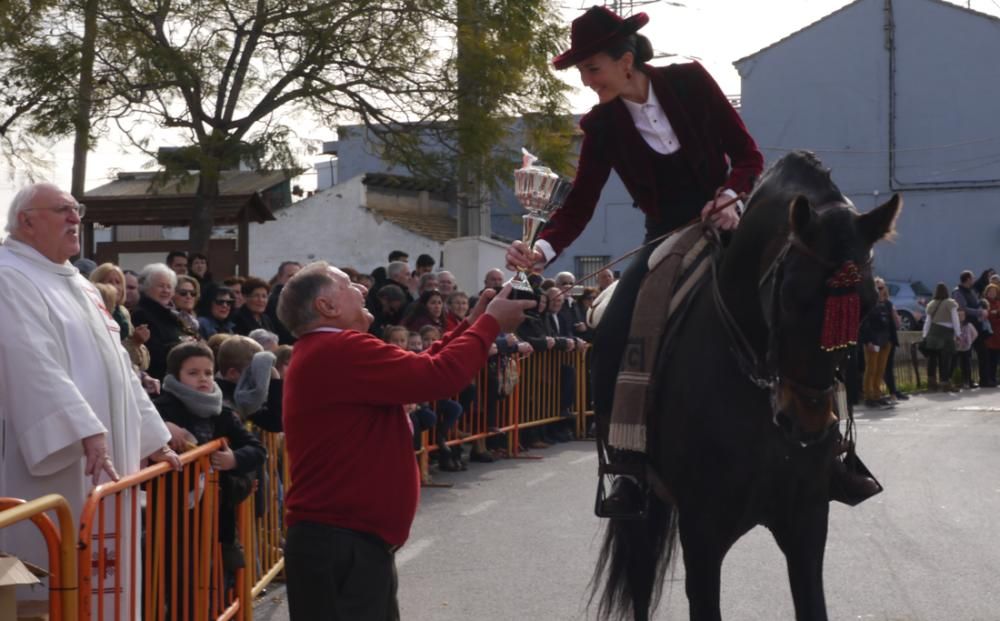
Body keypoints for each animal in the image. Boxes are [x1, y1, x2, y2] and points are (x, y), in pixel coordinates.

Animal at [588, 150, 904, 620]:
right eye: (789, 296)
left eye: (864, 305)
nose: (807, 421)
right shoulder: (702, 534)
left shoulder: (806, 524)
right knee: (640, 578)